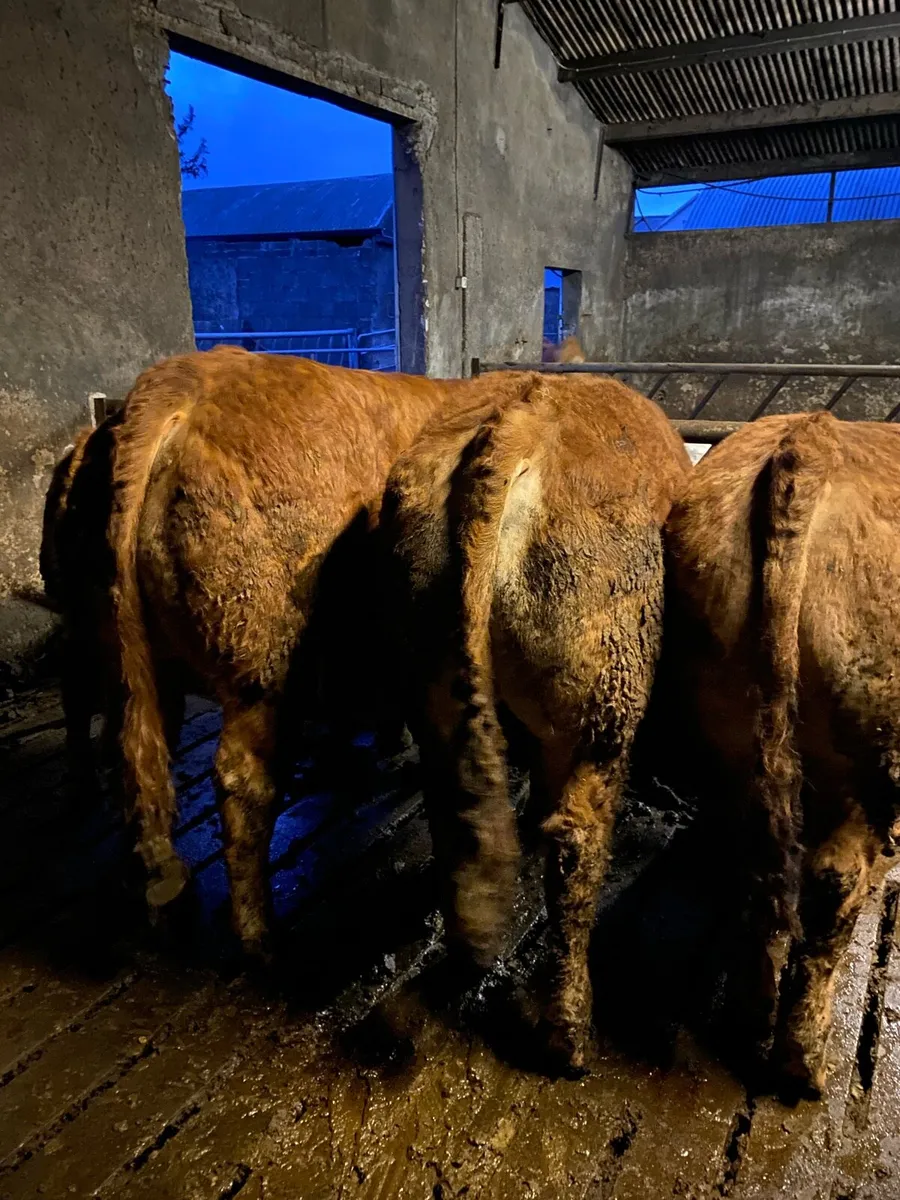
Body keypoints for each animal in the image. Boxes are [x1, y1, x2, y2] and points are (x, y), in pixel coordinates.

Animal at [108, 344, 544, 956]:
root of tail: (192, 380)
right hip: (261, 658)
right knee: (241, 778)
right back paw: (258, 934)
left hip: (146, 657)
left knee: (144, 758)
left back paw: (168, 901)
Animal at [380, 371, 690, 1073]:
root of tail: (522, 414)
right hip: (606, 693)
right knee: (575, 840)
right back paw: (569, 1033)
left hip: (430, 672)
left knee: (457, 807)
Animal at [660, 410, 900, 1099]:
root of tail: (812, 438)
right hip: (865, 749)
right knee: (831, 878)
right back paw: (802, 1060)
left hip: (732, 723)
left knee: (761, 861)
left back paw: (752, 1021)